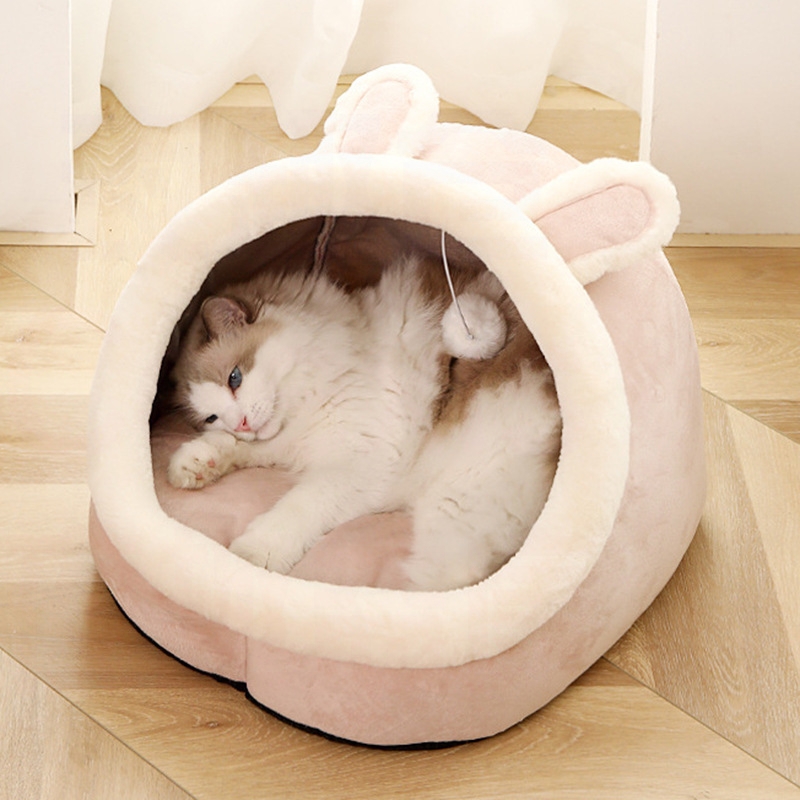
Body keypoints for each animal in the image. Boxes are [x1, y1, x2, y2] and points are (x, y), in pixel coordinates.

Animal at [166, 254, 561, 591]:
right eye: (211, 417)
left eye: (235, 378)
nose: (243, 423)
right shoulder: (297, 441)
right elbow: (235, 448)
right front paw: (194, 463)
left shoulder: (363, 463)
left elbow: (298, 506)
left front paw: (255, 551)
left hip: (457, 511)